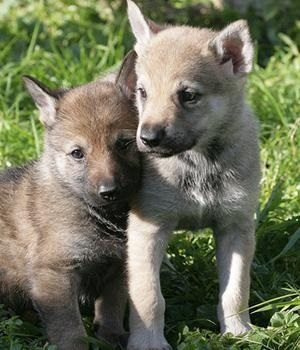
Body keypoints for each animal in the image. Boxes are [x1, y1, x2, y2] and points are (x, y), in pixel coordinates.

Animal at [0, 51, 140, 350]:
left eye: (123, 144)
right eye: (77, 153)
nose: (109, 191)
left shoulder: (119, 269)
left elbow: (111, 308)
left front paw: (112, 336)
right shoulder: (55, 274)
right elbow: (70, 328)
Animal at [124, 1, 260, 348]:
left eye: (188, 95)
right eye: (143, 92)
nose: (147, 138)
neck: (198, 163)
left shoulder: (236, 227)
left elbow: (235, 290)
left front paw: (238, 332)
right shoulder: (148, 228)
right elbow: (148, 297)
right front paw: (148, 343)